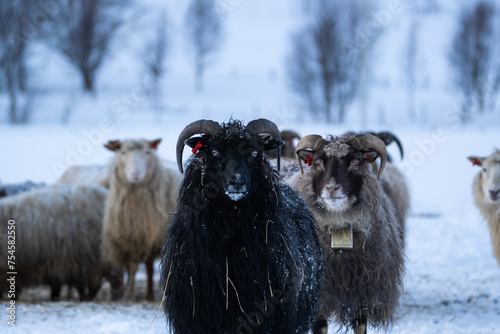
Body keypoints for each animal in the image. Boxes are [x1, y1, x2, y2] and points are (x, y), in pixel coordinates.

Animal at [100, 137, 179, 302]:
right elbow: (134, 267)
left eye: (147, 152)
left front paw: (147, 294)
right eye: (123, 152)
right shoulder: (132, 238)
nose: (135, 173)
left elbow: (147, 267)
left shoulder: (150, 236)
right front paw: (131, 295)